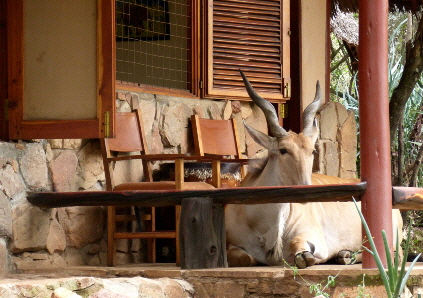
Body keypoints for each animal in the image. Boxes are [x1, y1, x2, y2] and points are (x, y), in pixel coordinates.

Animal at [225, 71, 404, 268]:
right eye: (283, 150)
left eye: (313, 151)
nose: (306, 189)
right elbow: (240, 256)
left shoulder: (314, 238)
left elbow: (299, 245)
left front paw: (305, 256)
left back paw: (345, 255)